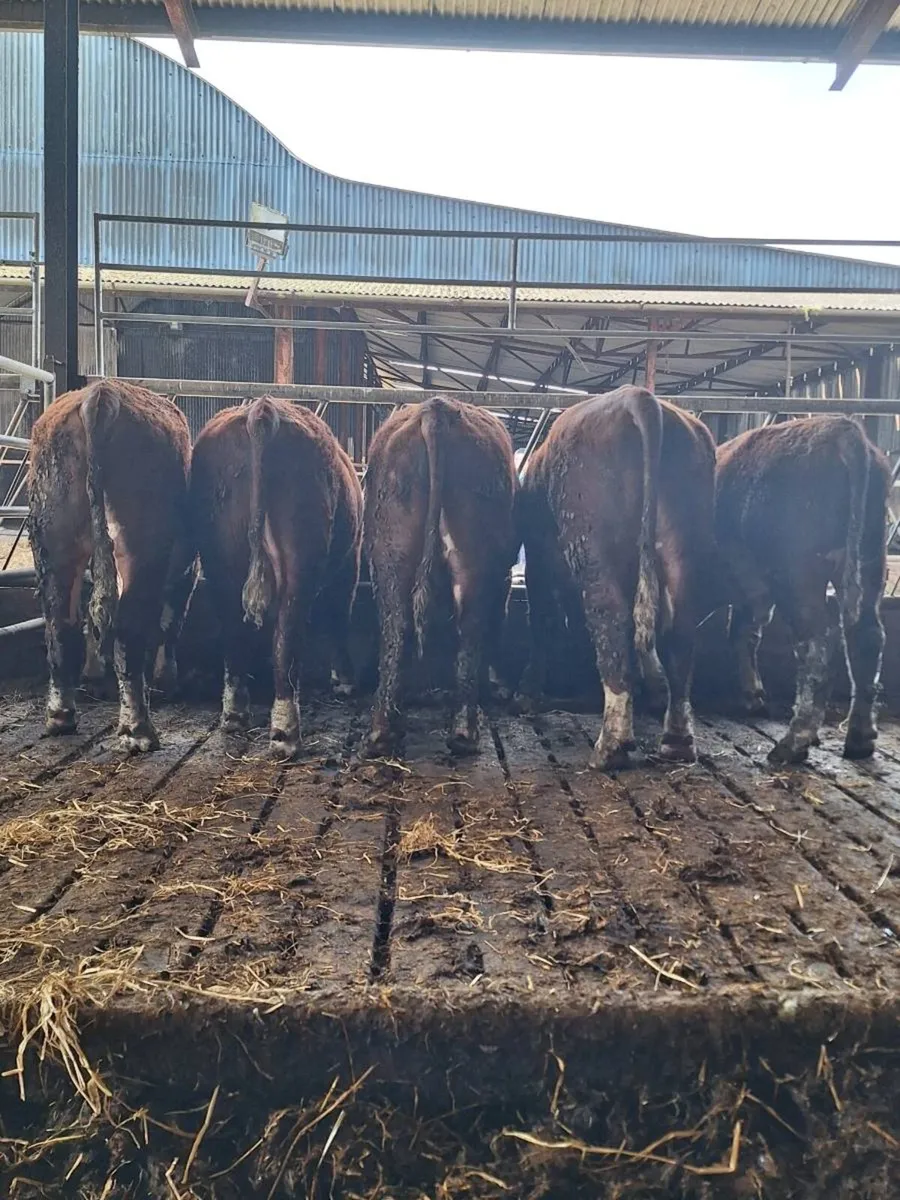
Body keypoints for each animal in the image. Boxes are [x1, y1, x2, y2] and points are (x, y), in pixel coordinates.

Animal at [27, 379, 193, 751]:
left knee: (61, 622)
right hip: (138, 546)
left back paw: (61, 716)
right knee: (127, 626)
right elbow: (170, 622)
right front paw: (166, 680)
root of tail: (100, 395)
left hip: (54, 537)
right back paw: (138, 730)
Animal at [190, 396, 362, 759]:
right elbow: (340, 616)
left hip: (220, 556)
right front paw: (344, 679)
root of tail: (262, 409)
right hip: (300, 555)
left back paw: (235, 714)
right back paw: (286, 734)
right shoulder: (350, 562)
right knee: (286, 636)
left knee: (234, 633)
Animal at [363, 395, 518, 757]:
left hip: (391, 554)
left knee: (397, 626)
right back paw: (464, 732)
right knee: (470, 630)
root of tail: (437, 409)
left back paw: (384, 731)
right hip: (473, 559)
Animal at [517, 386, 717, 771]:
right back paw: (677, 740)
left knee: (610, 622)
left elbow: (544, 621)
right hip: (684, 547)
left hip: (592, 546)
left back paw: (611, 746)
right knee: (681, 633)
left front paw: (527, 695)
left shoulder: (537, 560)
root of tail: (637, 397)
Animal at [714, 415, 889, 765]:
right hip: (868, 560)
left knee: (816, 646)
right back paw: (860, 738)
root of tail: (840, 429)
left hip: (797, 573)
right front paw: (753, 696)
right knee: (866, 637)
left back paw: (793, 743)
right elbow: (743, 632)